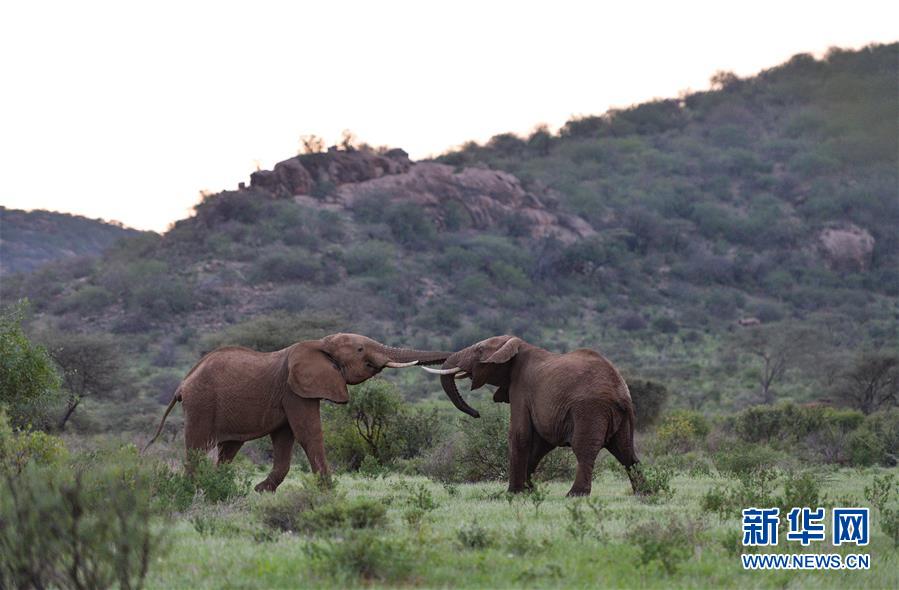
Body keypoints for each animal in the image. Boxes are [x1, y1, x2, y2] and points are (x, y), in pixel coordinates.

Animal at [146, 332, 450, 494]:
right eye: (361, 349)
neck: (321, 343)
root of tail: (182, 383)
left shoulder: (288, 394)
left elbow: (285, 440)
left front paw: (260, 492)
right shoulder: (295, 391)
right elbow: (308, 433)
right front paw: (328, 492)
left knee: (228, 450)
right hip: (201, 404)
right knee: (198, 448)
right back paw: (194, 490)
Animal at [424, 336, 644, 498]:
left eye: (479, 350)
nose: (477, 414)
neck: (516, 345)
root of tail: (619, 390)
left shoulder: (521, 388)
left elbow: (519, 435)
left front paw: (513, 493)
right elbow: (540, 443)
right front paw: (529, 490)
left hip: (590, 410)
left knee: (585, 449)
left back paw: (574, 495)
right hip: (624, 416)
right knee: (626, 452)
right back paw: (644, 492)